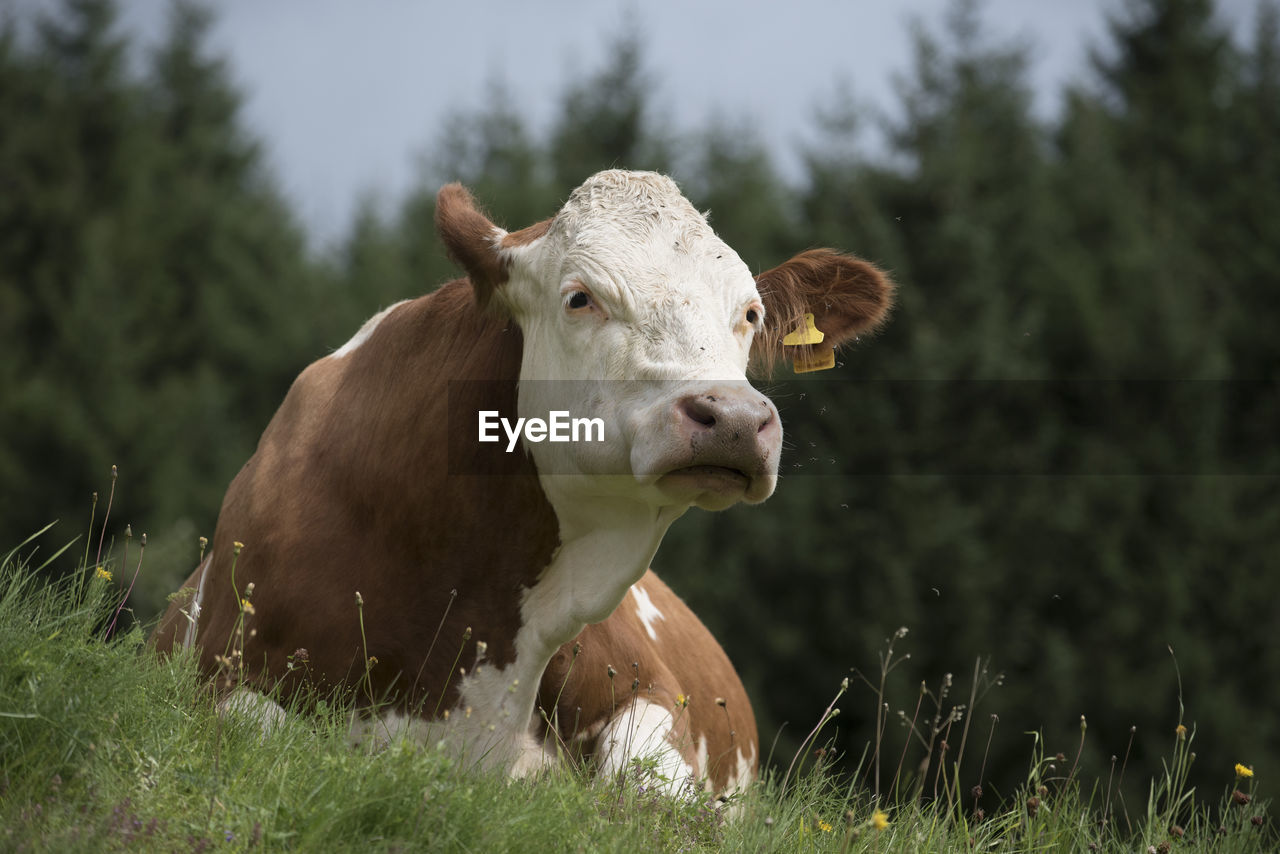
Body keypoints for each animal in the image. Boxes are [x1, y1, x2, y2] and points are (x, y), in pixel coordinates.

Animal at [152, 169, 890, 804]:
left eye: (751, 314)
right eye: (580, 297)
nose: (734, 419)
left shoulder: (653, 693)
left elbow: (641, 781)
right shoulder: (220, 677)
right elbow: (262, 731)